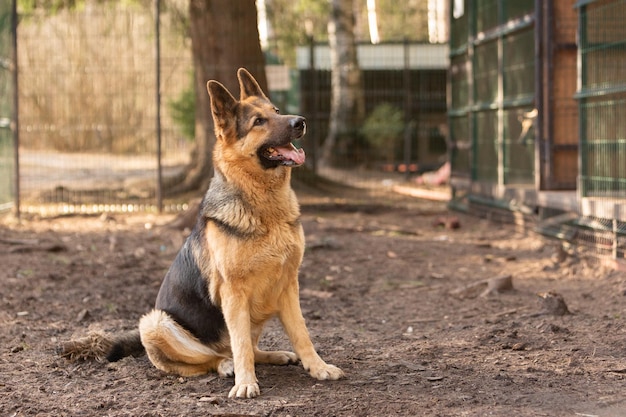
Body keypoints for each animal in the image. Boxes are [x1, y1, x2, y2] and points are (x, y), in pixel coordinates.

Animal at [64, 68, 342, 396]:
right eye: (258, 122)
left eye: (276, 111)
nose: (299, 121)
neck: (264, 209)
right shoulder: (234, 293)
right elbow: (240, 345)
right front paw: (245, 383)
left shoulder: (288, 286)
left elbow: (302, 333)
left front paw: (318, 367)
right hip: (155, 323)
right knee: (211, 357)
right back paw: (226, 365)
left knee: (247, 348)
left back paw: (272, 355)